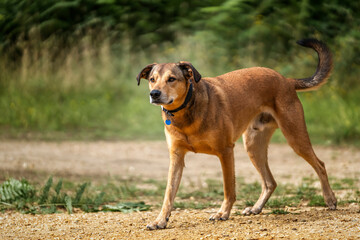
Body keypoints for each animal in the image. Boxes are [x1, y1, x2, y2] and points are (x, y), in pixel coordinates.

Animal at [136, 38, 336, 230]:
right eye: (152, 79)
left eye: (172, 79)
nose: (154, 94)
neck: (185, 111)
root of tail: (285, 80)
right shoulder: (176, 157)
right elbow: (168, 194)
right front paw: (160, 220)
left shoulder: (225, 151)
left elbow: (228, 189)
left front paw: (222, 213)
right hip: (253, 146)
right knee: (270, 182)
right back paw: (256, 208)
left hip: (295, 137)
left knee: (320, 165)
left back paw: (330, 199)